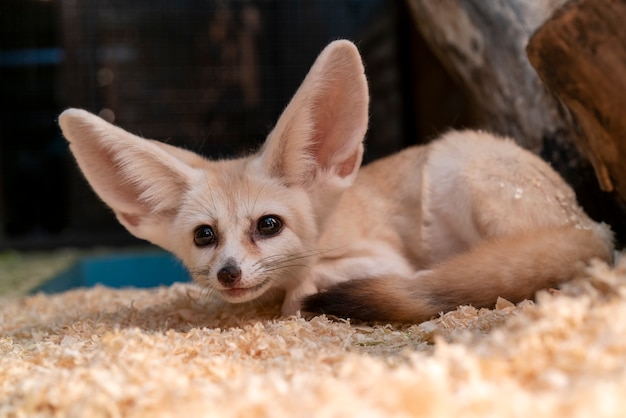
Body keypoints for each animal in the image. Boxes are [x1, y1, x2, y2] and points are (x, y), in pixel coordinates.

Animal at [57, 40, 608, 324]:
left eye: (269, 225)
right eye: (204, 236)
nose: (228, 274)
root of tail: (590, 223)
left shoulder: (384, 259)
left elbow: (308, 282)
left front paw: (295, 306)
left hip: (457, 168)